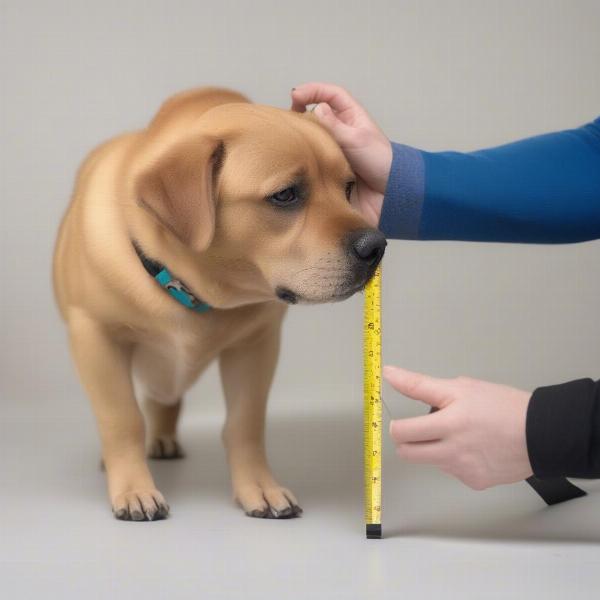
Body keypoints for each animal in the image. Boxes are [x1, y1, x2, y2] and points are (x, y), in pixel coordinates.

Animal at [54, 85, 386, 520]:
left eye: (349, 189)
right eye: (285, 195)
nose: (377, 246)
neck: (192, 290)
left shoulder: (256, 345)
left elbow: (245, 424)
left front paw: (258, 487)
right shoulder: (96, 338)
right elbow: (122, 420)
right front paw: (133, 488)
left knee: (165, 401)